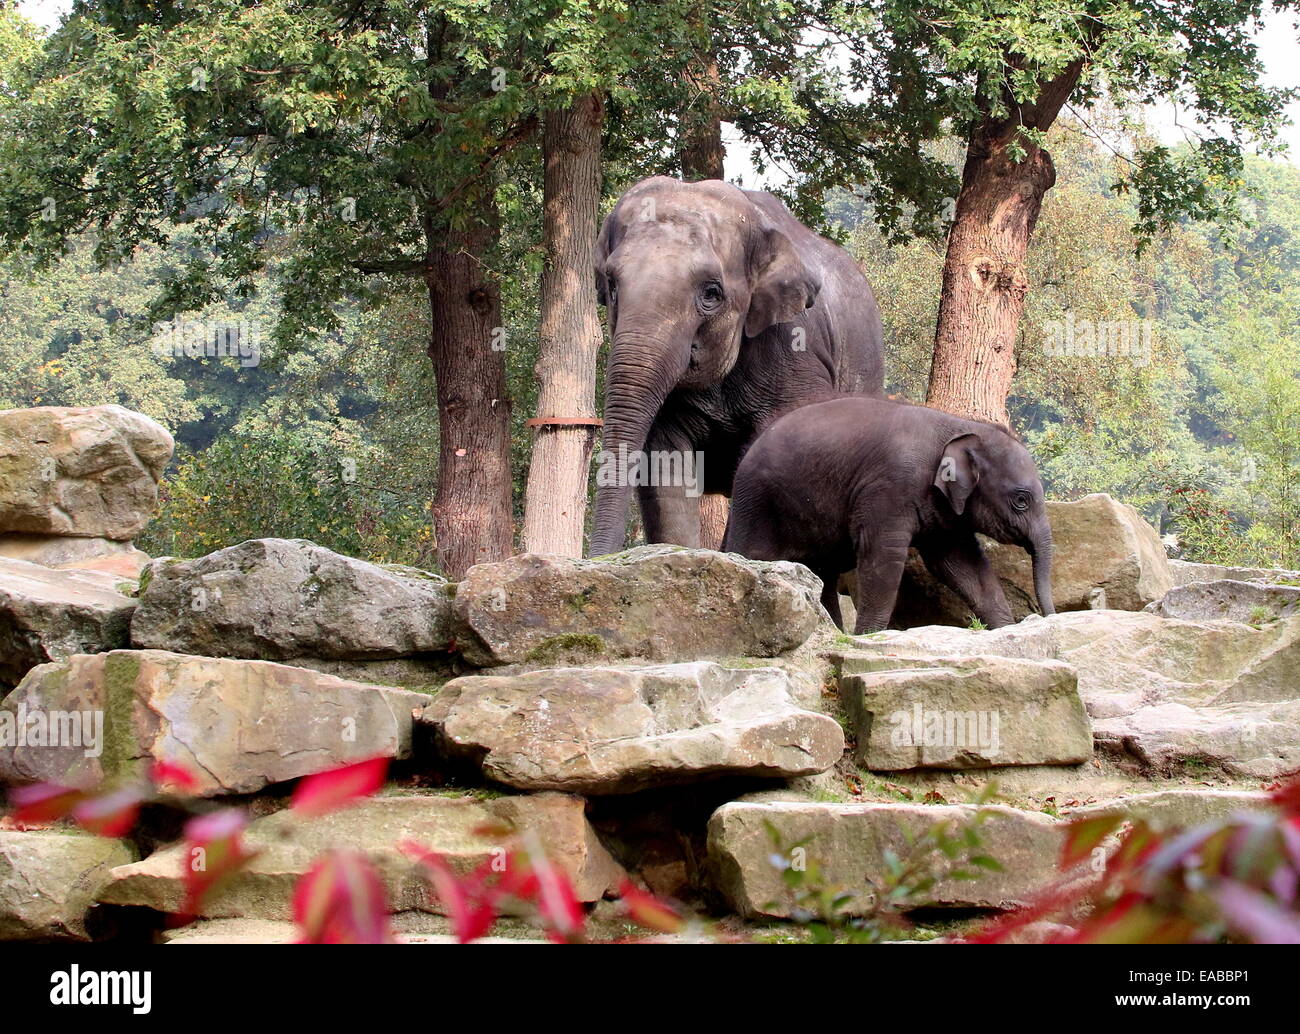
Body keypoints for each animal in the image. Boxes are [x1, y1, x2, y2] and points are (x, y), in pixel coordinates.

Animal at [728, 395, 1050, 634]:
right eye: (1021, 500)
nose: (1045, 617)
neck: (960, 426)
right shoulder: (888, 488)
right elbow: (883, 557)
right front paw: (868, 637)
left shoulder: (944, 511)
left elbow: (963, 563)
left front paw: (1005, 630)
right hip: (757, 504)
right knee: (753, 554)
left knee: (822, 575)